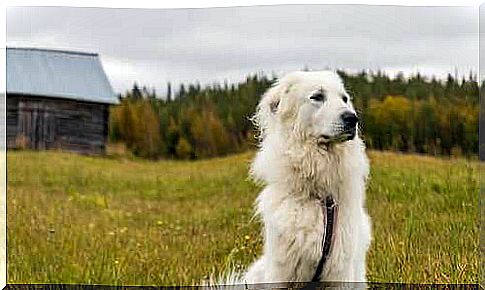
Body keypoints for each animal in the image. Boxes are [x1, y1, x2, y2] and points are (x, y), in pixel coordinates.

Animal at [214, 69, 368, 286]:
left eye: (344, 99)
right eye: (317, 97)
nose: (352, 118)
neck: (318, 196)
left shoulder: (340, 271)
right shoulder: (281, 270)